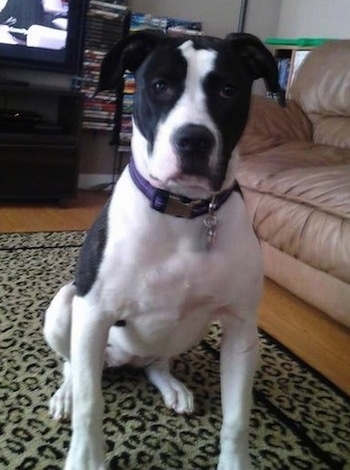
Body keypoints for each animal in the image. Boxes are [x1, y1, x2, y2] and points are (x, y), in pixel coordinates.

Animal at [43, 31, 284, 468]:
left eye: (228, 90)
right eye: (160, 86)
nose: (193, 139)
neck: (183, 213)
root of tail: (122, 360)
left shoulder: (241, 330)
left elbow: (237, 418)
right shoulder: (94, 312)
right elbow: (91, 404)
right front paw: (86, 458)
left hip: (185, 333)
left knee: (156, 361)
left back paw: (170, 384)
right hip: (66, 306)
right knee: (73, 366)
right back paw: (66, 392)